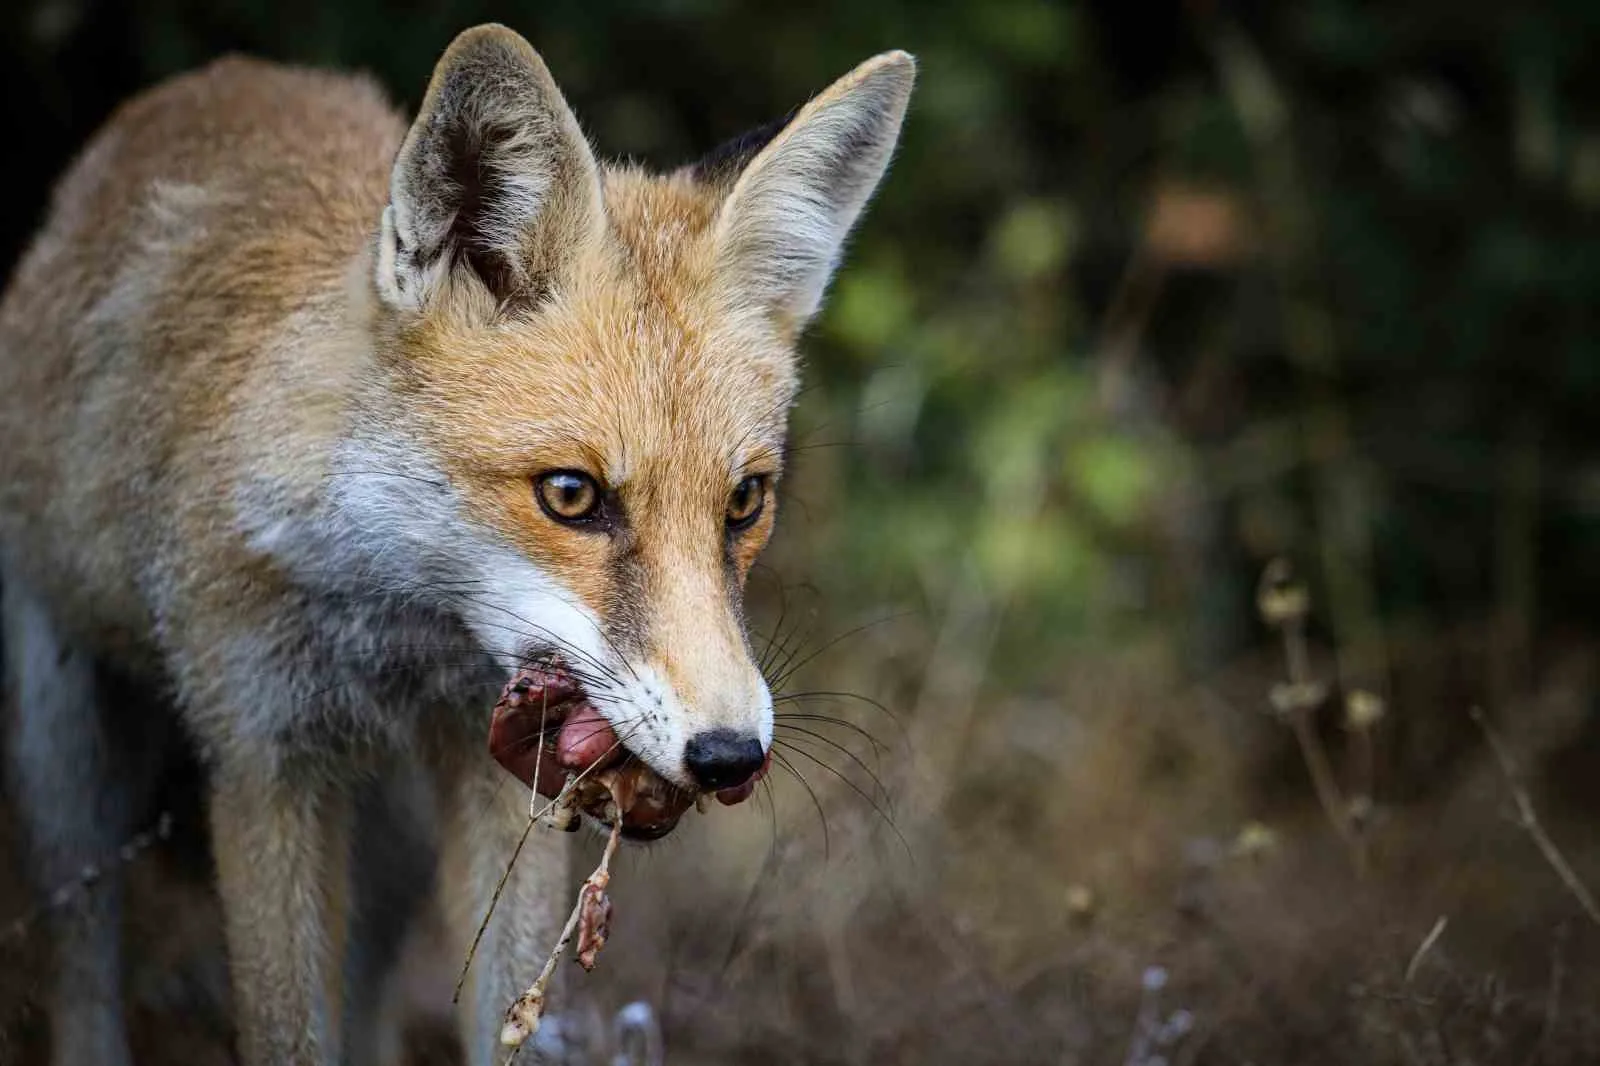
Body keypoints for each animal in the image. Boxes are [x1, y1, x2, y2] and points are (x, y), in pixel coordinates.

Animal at [0, 22, 915, 1062]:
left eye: (744, 502)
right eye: (571, 495)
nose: (729, 756)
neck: (397, 625)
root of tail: (220, 76)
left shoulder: (496, 774)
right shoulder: (261, 761)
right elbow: (287, 1030)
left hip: (390, 832)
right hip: (68, 762)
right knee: (83, 964)